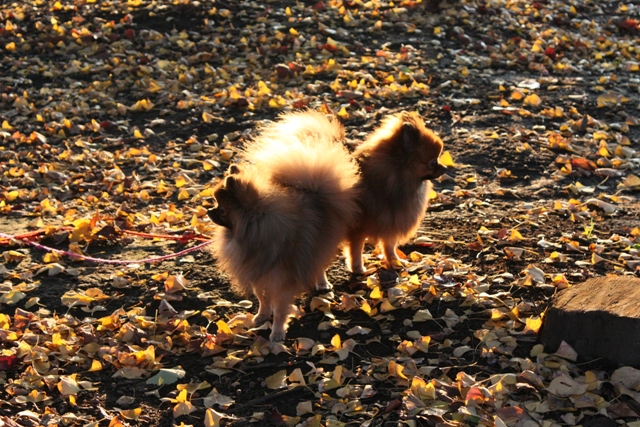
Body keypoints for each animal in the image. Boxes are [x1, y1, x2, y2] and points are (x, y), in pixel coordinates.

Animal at [348, 113, 448, 274]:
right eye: (433, 162)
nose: (445, 168)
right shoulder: (358, 228)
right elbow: (356, 249)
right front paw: (358, 269)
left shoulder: (391, 223)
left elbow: (389, 246)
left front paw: (396, 262)